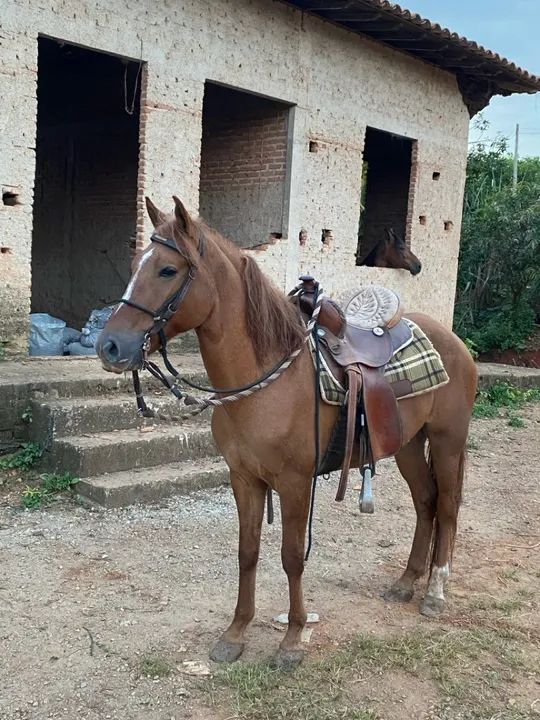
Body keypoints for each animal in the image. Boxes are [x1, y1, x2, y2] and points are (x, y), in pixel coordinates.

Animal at [97, 196, 477, 668]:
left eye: (167, 270)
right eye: (135, 264)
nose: (109, 346)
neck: (265, 382)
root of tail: (454, 341)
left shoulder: (295, 484)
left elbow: (292, 557)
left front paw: (292, 639)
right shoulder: (244, 478)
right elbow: (248, 552)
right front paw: (235, 633)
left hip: (447, 442)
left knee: (447, 507)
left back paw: (435, 592)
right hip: (407, 444)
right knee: (425, 503)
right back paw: (407, 582)